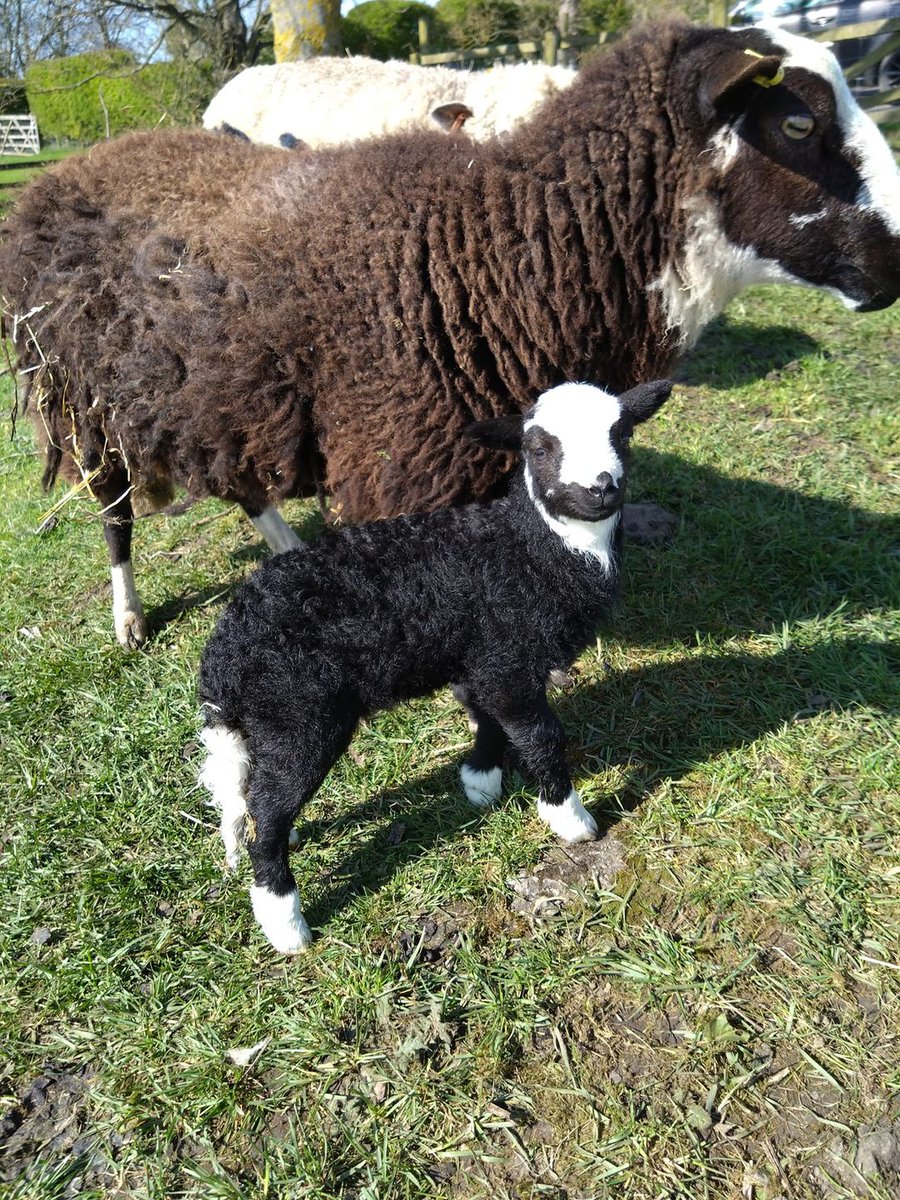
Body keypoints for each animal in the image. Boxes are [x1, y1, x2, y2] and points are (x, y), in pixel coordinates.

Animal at [2, 22, 899, 650]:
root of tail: (75, 164)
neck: (499, 247)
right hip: (82, 392)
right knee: (113, 508)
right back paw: (128, 616)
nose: (896, 261)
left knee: (243, 476)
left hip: (216, 385)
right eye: (795, 123)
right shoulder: (412, 462)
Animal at [198, 379, 672, 953]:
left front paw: (480, 780)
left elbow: (488, 715)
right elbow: (540, 735)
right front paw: (571, 819)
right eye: (538, 449)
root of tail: (224, 655)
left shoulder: (482, 656)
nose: (600, 488)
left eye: (623, 434)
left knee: (258, 795)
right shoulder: (509, 658)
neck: (531, 551)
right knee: (269, 806)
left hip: (269, 721)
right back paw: (284, 921)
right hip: (299, 713)